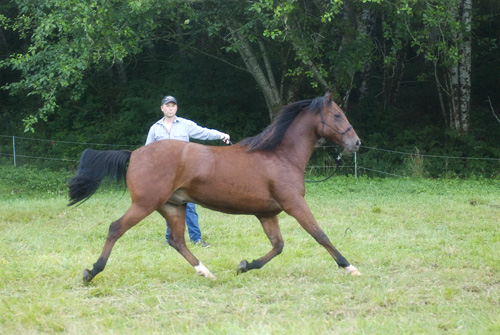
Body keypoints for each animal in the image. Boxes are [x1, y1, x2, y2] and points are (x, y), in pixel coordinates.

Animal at [69, 92, 360, 284]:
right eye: (337, 114)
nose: (355, 143)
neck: (279, 156)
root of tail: (135, 154)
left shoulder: (267, 214)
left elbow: (278, 246)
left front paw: (245, 266)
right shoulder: (294, 204)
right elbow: (320, 235)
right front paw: (349, 267)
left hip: (172, 207)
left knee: (177, 241)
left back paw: (206, 272)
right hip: (145, 204)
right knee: (116, 228)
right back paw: (91, 272)